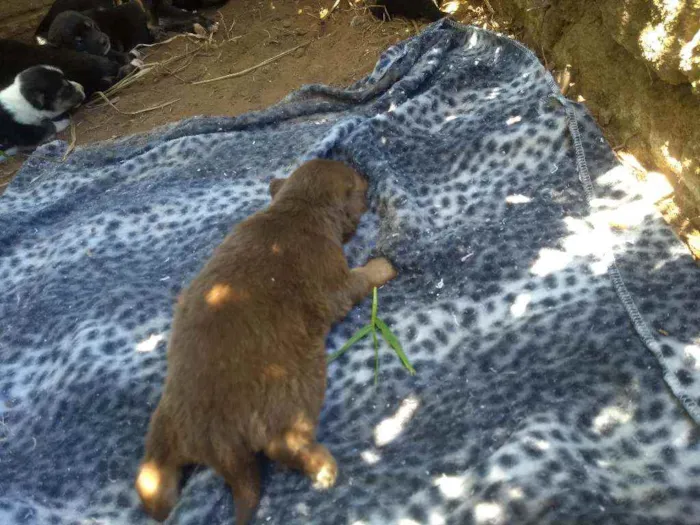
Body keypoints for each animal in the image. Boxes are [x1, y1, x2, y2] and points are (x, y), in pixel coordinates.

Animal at [136, 160, 396, 524]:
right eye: (360, 184)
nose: (367, 177)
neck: (295, 209)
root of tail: (217, 446)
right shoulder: (334, 282)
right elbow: (358, 280)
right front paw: (382, 266)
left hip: (163, 433)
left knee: (152, 484)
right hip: (293, 396)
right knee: (283, 445)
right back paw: (324, 469)